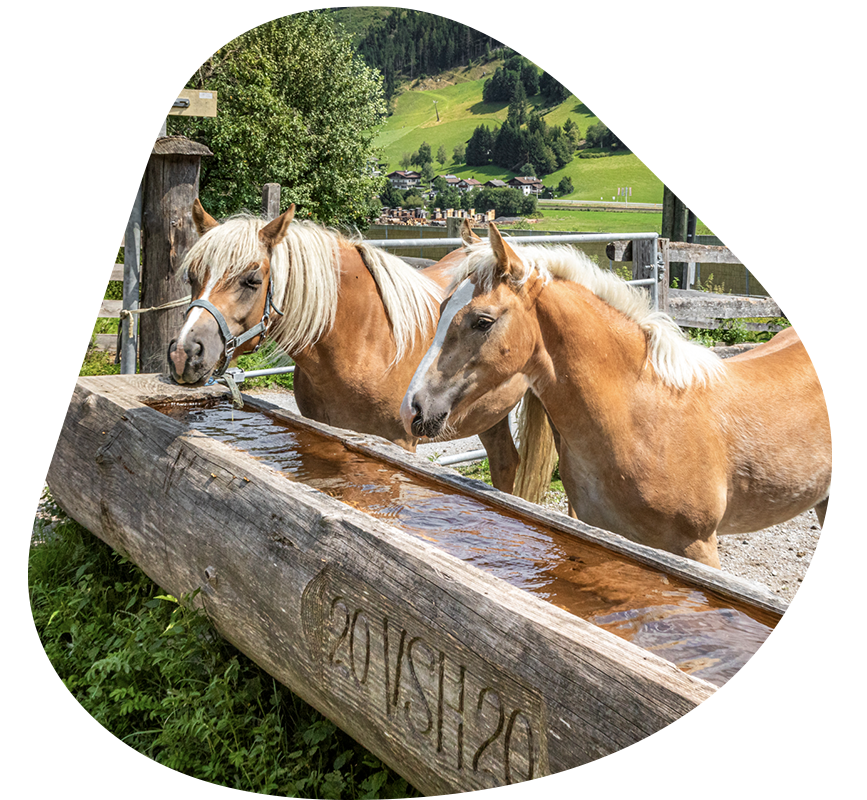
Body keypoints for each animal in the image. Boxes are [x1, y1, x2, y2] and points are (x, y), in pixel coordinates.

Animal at [167, 200, 537, 494]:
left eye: (252, 280)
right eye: (191, 277)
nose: (184, 353)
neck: (368, 342)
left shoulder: (400, 447)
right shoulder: (319, 436)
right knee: (505, 462)